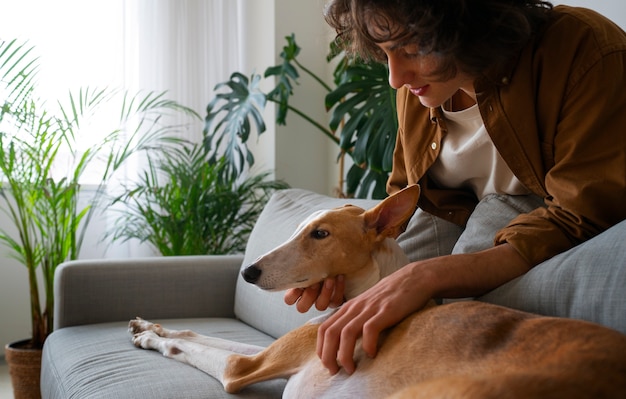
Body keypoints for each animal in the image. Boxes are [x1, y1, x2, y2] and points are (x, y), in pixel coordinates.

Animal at [128, 186, 624, 398]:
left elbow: (223, 357)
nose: (248, 272)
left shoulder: (248, 366)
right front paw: (146, 325)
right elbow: (197, 335)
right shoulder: (289, 344)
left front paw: (151, 338)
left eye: (320, 234)